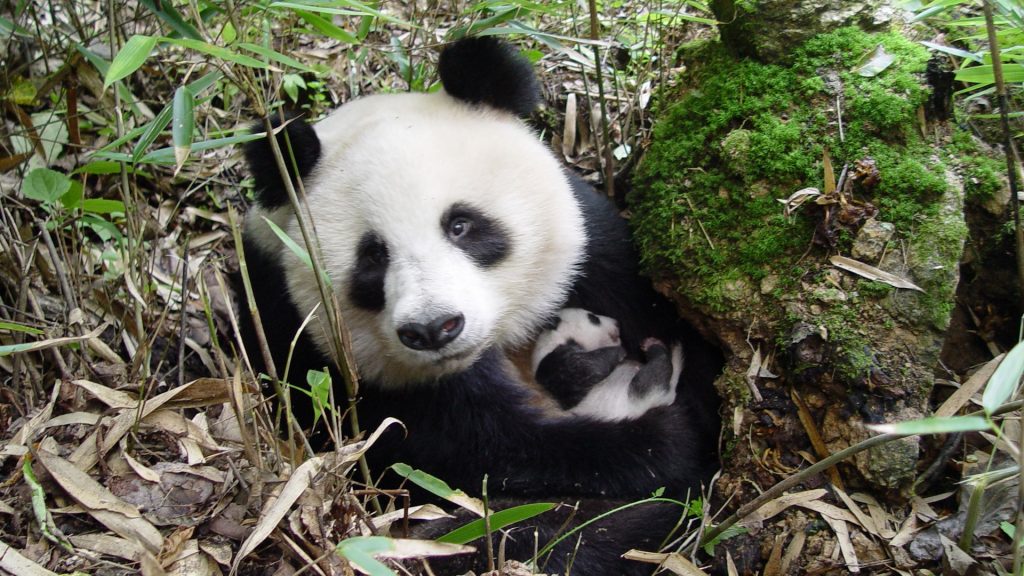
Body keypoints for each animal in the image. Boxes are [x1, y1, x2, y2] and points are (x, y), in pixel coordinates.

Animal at [238, 36, 720, 573]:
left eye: (461, 225)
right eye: (373, 257)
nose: (434, 329)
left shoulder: (596, 256)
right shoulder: (320, 350)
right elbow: (491, 452)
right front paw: (660, 443)